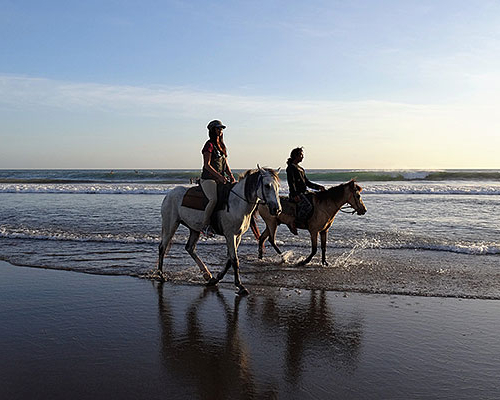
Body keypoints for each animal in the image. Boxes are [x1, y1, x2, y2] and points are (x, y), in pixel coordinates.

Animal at [158, 167, 282, 296]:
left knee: (189, 248)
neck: (238, 203)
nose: (277, 209)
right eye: (267, 186)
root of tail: (169, 194)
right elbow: (234, 260)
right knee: (162, 247)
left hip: (194, 229)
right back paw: (161, 275)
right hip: (170, 225)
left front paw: (217, 278)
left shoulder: (238, 236)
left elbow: (229, 260)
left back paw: (208, 275)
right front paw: (240, 286)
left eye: (278, 186)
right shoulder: (230, 235)